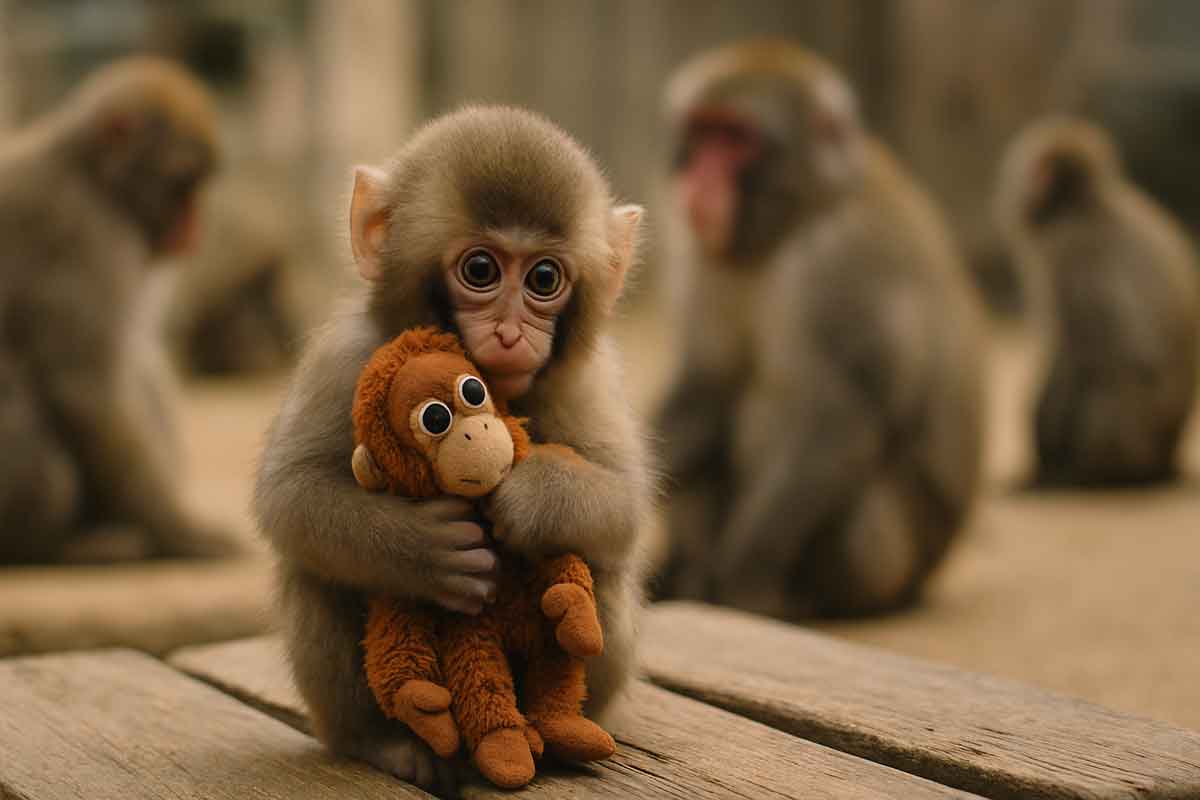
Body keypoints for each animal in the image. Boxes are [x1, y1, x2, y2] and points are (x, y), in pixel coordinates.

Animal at [0, 57, 243, 563]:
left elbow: (138, 358)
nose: (193, 230)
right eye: (182, 183)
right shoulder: (89, 234)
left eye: (200, 185)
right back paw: (57, 547)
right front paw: (179, 531)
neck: (93, 176)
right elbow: (86, 389)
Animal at [253, 106, 650, 795]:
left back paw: (558, 735)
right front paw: (421, 548)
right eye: (481, 271)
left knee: (605, 573)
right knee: (312, 573)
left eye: (544, 278)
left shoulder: (591, 377)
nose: (511, 334)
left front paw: (533, 497)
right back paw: (388, 742)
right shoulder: (345, 355)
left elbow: (626, 507)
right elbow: (289, 496)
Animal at [652, 41, 986, 619]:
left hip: (887, 563)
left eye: (736, 138)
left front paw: (745, 573)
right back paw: (681, 570)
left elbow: (842, 413)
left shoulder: (845, 260)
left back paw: (794, 599)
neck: (792, 219)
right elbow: (709, 382)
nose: (697, 182)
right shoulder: (703, 253)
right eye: (702, 130)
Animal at [994, 117, 1200, 487]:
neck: (1083, 204)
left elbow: (1092, 356)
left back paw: (1083, 475)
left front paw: (1044, 453)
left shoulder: (1069, 255)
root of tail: (1166, 461)